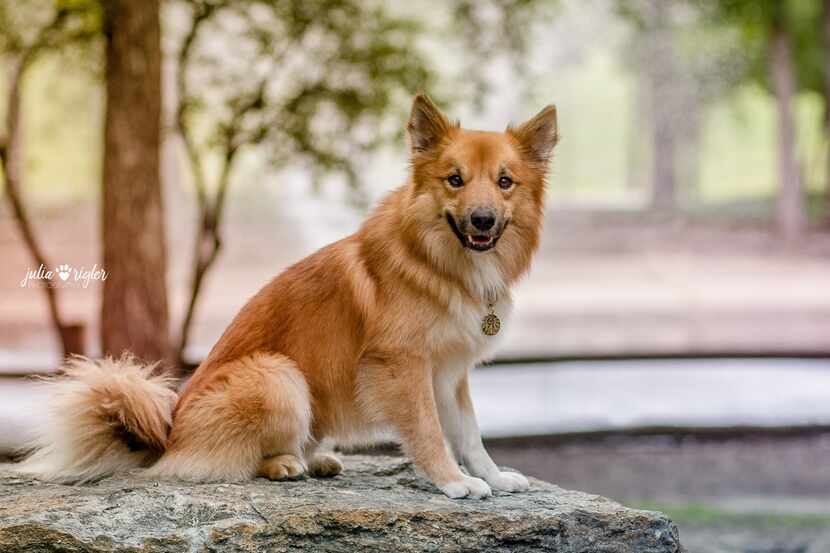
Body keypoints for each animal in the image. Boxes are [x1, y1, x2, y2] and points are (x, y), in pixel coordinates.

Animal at [17, 92, 560, 498]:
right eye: (454, 180)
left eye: (505, 182)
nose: (482, 220)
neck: (439, 262)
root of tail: (168, 434)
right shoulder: (402, 365)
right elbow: (428, 431)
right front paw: (452, 482)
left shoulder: (447, 372)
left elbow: (469, 432)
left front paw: (493, 476)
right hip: (278, 376)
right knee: (220, 464)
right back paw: (283, 464)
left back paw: (316, 458)